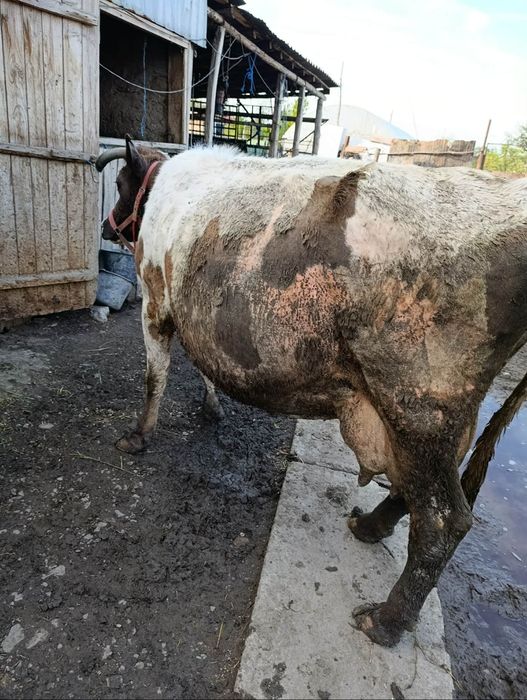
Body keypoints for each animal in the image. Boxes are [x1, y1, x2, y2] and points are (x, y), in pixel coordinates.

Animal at [95, 137, 527, 648]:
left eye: (122, 186)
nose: (106, 227)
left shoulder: (156, 299)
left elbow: (155, 377)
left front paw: (137, 436)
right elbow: (202, 368)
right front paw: (211, 406)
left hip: (419, 407)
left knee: (443, 520)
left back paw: (384, 620)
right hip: (437, 420)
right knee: (413, 493)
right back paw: (369, 526)